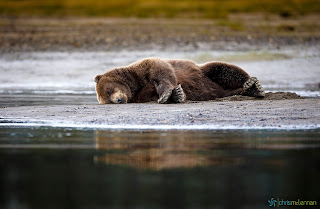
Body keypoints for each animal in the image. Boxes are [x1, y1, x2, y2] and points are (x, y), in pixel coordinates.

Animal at [94, 57, 264, 104]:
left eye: (108, 90)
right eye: (107, 99)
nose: (118, 100)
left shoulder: (143, 68)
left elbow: (162, 72)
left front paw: (166, 94)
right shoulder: (142, 95)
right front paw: (178, 94)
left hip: (204, 71)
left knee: (222, 68)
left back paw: (252, 84)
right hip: (220, 92)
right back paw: (250, 90)